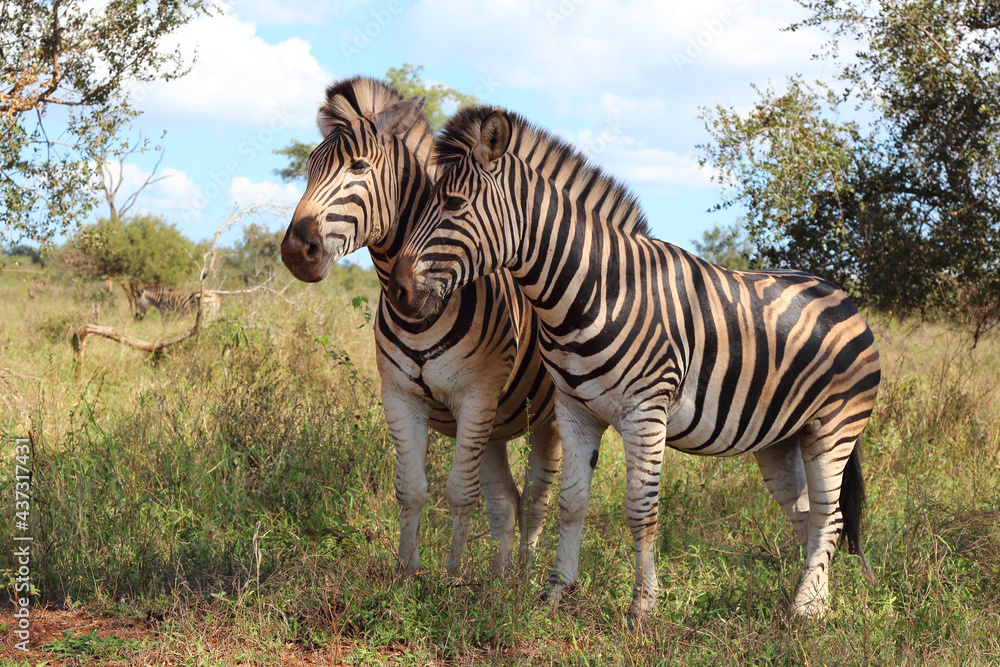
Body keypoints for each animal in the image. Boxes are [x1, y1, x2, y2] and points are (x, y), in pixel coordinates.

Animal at [279, 78, 561, 574]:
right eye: (308, 170)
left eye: (358, 166)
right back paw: (500, 578)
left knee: (535, 502)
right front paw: (406, 572)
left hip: (551, 420)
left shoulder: (475, 396)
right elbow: (411, 489)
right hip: (496, 422)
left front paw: (450, 577)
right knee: (506, 500)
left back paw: (523, 578)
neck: (419, 310)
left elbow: (459, 493)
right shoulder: (400, 395)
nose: (297, 251)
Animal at [388, 106, 882, 625]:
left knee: (830, 515)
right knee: (809, 515)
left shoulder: (646, 412)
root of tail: (839, 293)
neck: (597, 290)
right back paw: (813, 600)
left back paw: (806, 611)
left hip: (834, 427)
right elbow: (572, 502)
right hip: (780, 438)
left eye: (455, 204)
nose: (398, 290)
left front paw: (643, 606)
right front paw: (556, 591)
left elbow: (640, 510)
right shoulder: (574, 410)